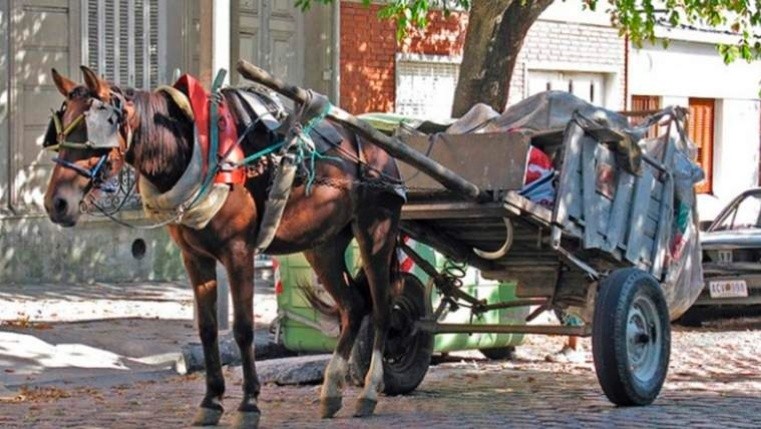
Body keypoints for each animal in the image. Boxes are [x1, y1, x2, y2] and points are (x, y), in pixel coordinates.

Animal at [42, 66, 405, 428]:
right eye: (59, 132)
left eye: (94, 131)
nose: (56, 203)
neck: (197, 152)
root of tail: (379, 148)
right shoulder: (195, 257)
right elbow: (207, 329)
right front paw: (211, 400)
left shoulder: (238, 252)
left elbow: (243, 329)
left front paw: (249, 404)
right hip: (323, 244)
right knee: (353, 306)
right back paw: (331, 390)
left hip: (375, 231)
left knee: (382, 308)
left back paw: (369, 392)